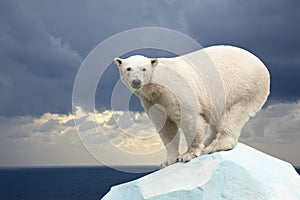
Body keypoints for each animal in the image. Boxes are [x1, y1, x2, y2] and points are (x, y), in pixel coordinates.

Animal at [113, 45, 270, 167]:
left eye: (144, 69)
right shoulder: (152, 101)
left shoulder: (177, 90)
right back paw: (208, 142)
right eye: (128, 68)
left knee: (235, 114)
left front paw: (188, 154)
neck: (157, 85)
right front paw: (167, 161)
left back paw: (216, 145)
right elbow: (165, 127)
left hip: (244, 86)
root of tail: (262, 66)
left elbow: (189, 117)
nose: (136, 82)